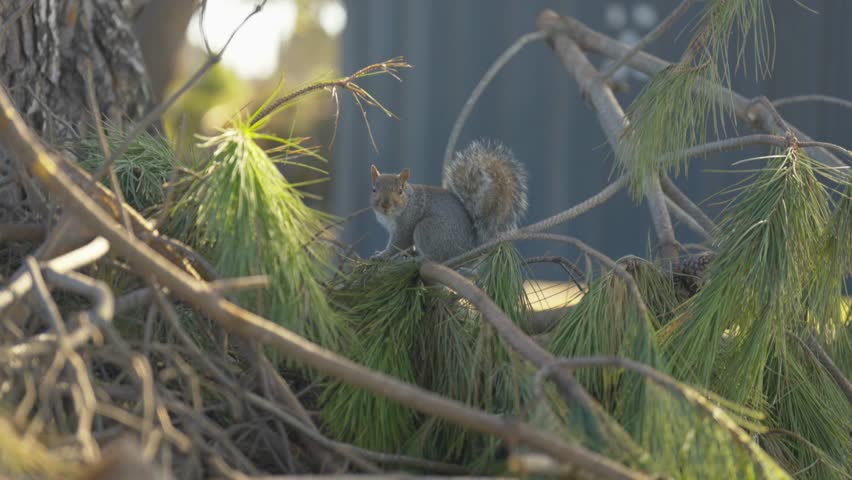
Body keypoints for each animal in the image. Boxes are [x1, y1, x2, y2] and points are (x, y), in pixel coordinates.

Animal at [370, 140, 528, 262]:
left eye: (400, 191)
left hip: (427, 228)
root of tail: (467, 249)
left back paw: (420, 258)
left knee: (437, 257)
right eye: (373, 190)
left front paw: (381, 256)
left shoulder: (406, 225)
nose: (385, 205)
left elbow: (398, 244)